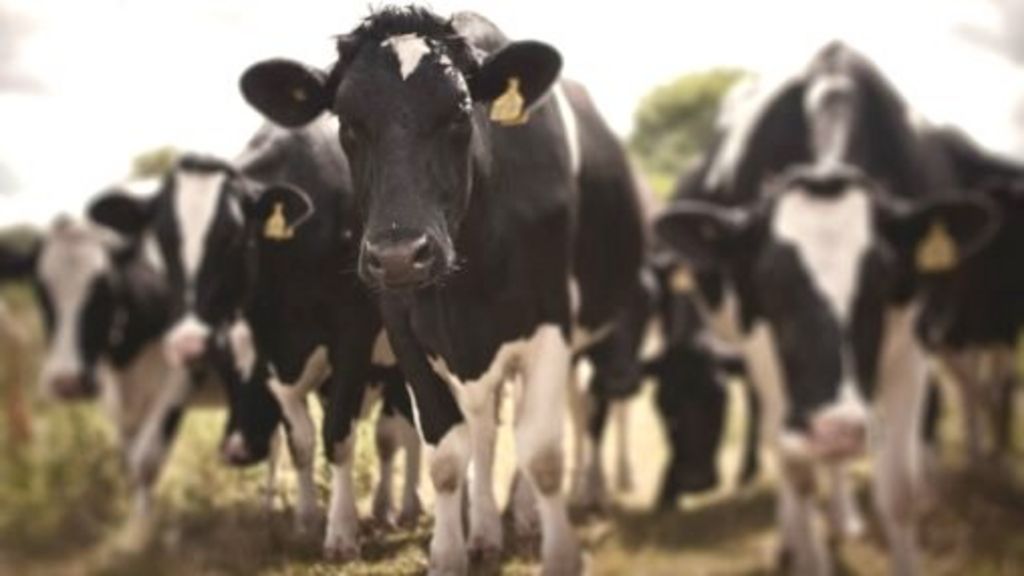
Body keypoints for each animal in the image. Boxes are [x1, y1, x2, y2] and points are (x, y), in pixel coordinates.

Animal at [238, 7, 648, 574]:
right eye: (346, 121)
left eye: (459, 112)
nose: (397, 254)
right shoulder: (404, 330)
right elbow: (447, 453)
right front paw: (452, 551)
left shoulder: (550, 326)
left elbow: (542, 452)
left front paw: (557, 552)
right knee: (484, 429)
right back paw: (486, 530)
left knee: (580, 409)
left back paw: (541, 510)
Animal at [655, 42, 996, 575]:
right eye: (768, 278)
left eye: (884, 274)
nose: (836, 429)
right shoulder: (764, 353)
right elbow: (798, 475)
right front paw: (804, 549)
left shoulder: (912, 346)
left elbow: (898, 493)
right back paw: (791, 537)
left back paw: (844, 514)